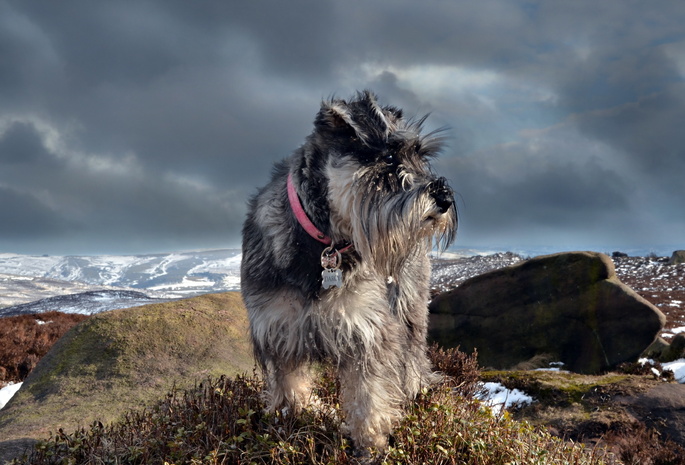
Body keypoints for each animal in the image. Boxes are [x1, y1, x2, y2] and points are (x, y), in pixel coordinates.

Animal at [243, 90, 456, 454]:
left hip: (408, 309)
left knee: (413, 357)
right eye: (388, 156)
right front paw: (295, 423)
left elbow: (368, 399)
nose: (443, 197)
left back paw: (416, 392)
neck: (324, 245)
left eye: (421, 156)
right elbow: (291, 389)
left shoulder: (367, 333)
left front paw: (371, 447)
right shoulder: (278, 332)